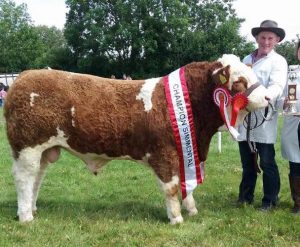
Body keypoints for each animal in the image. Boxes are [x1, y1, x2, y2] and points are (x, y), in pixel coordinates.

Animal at [4, 55, 268, 225]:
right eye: (239, 81)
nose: (268, 97)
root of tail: (23, 77)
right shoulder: (164, 153)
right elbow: (172, 187)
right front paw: (176, 218)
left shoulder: (186, 150)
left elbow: (186, 183)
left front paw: (191, 209)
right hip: (27, 147)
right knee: (24, 178)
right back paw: (26, 217)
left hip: (44, 150)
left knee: (37, 178)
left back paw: (32, 208)